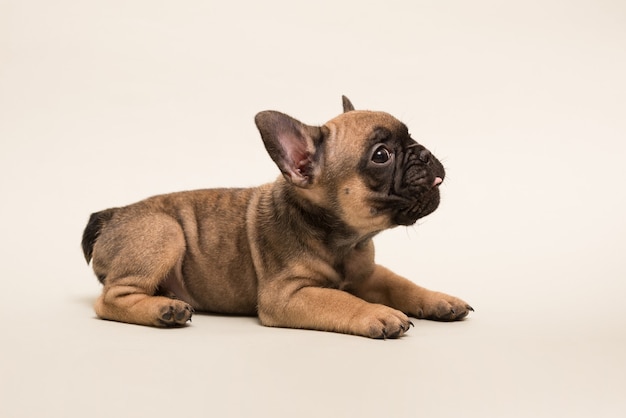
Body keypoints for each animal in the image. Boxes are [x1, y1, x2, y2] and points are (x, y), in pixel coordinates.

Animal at [80, 96, 470, 338]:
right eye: (381, 155)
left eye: (411, 136)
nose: (423, 152)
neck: (342, 239)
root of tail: (113, 215)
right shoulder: (286, 295)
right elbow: (341, 299)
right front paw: (377, 313)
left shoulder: (368, 273)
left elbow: (401, 284)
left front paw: (439, 300)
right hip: (164, 230)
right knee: (109, 300)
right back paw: (164, 309)